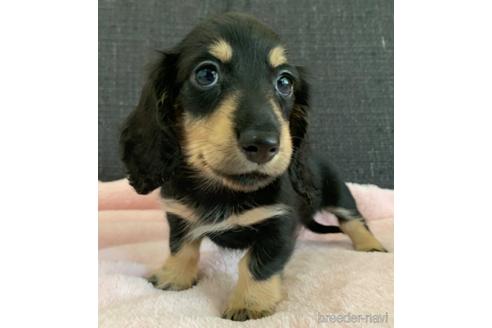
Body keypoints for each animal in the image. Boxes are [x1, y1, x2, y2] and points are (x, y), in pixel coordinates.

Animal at [118, 12, 384, 320]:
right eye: (206, 74)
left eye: (285, 82)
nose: (264, 145)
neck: (224, 191)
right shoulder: (179, 215)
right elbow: (181, 247)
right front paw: (173, 277)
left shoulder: (280, 223)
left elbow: (258, 263)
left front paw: (250, 303)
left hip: (339, 192)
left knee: (353, 218)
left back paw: (371, 245)